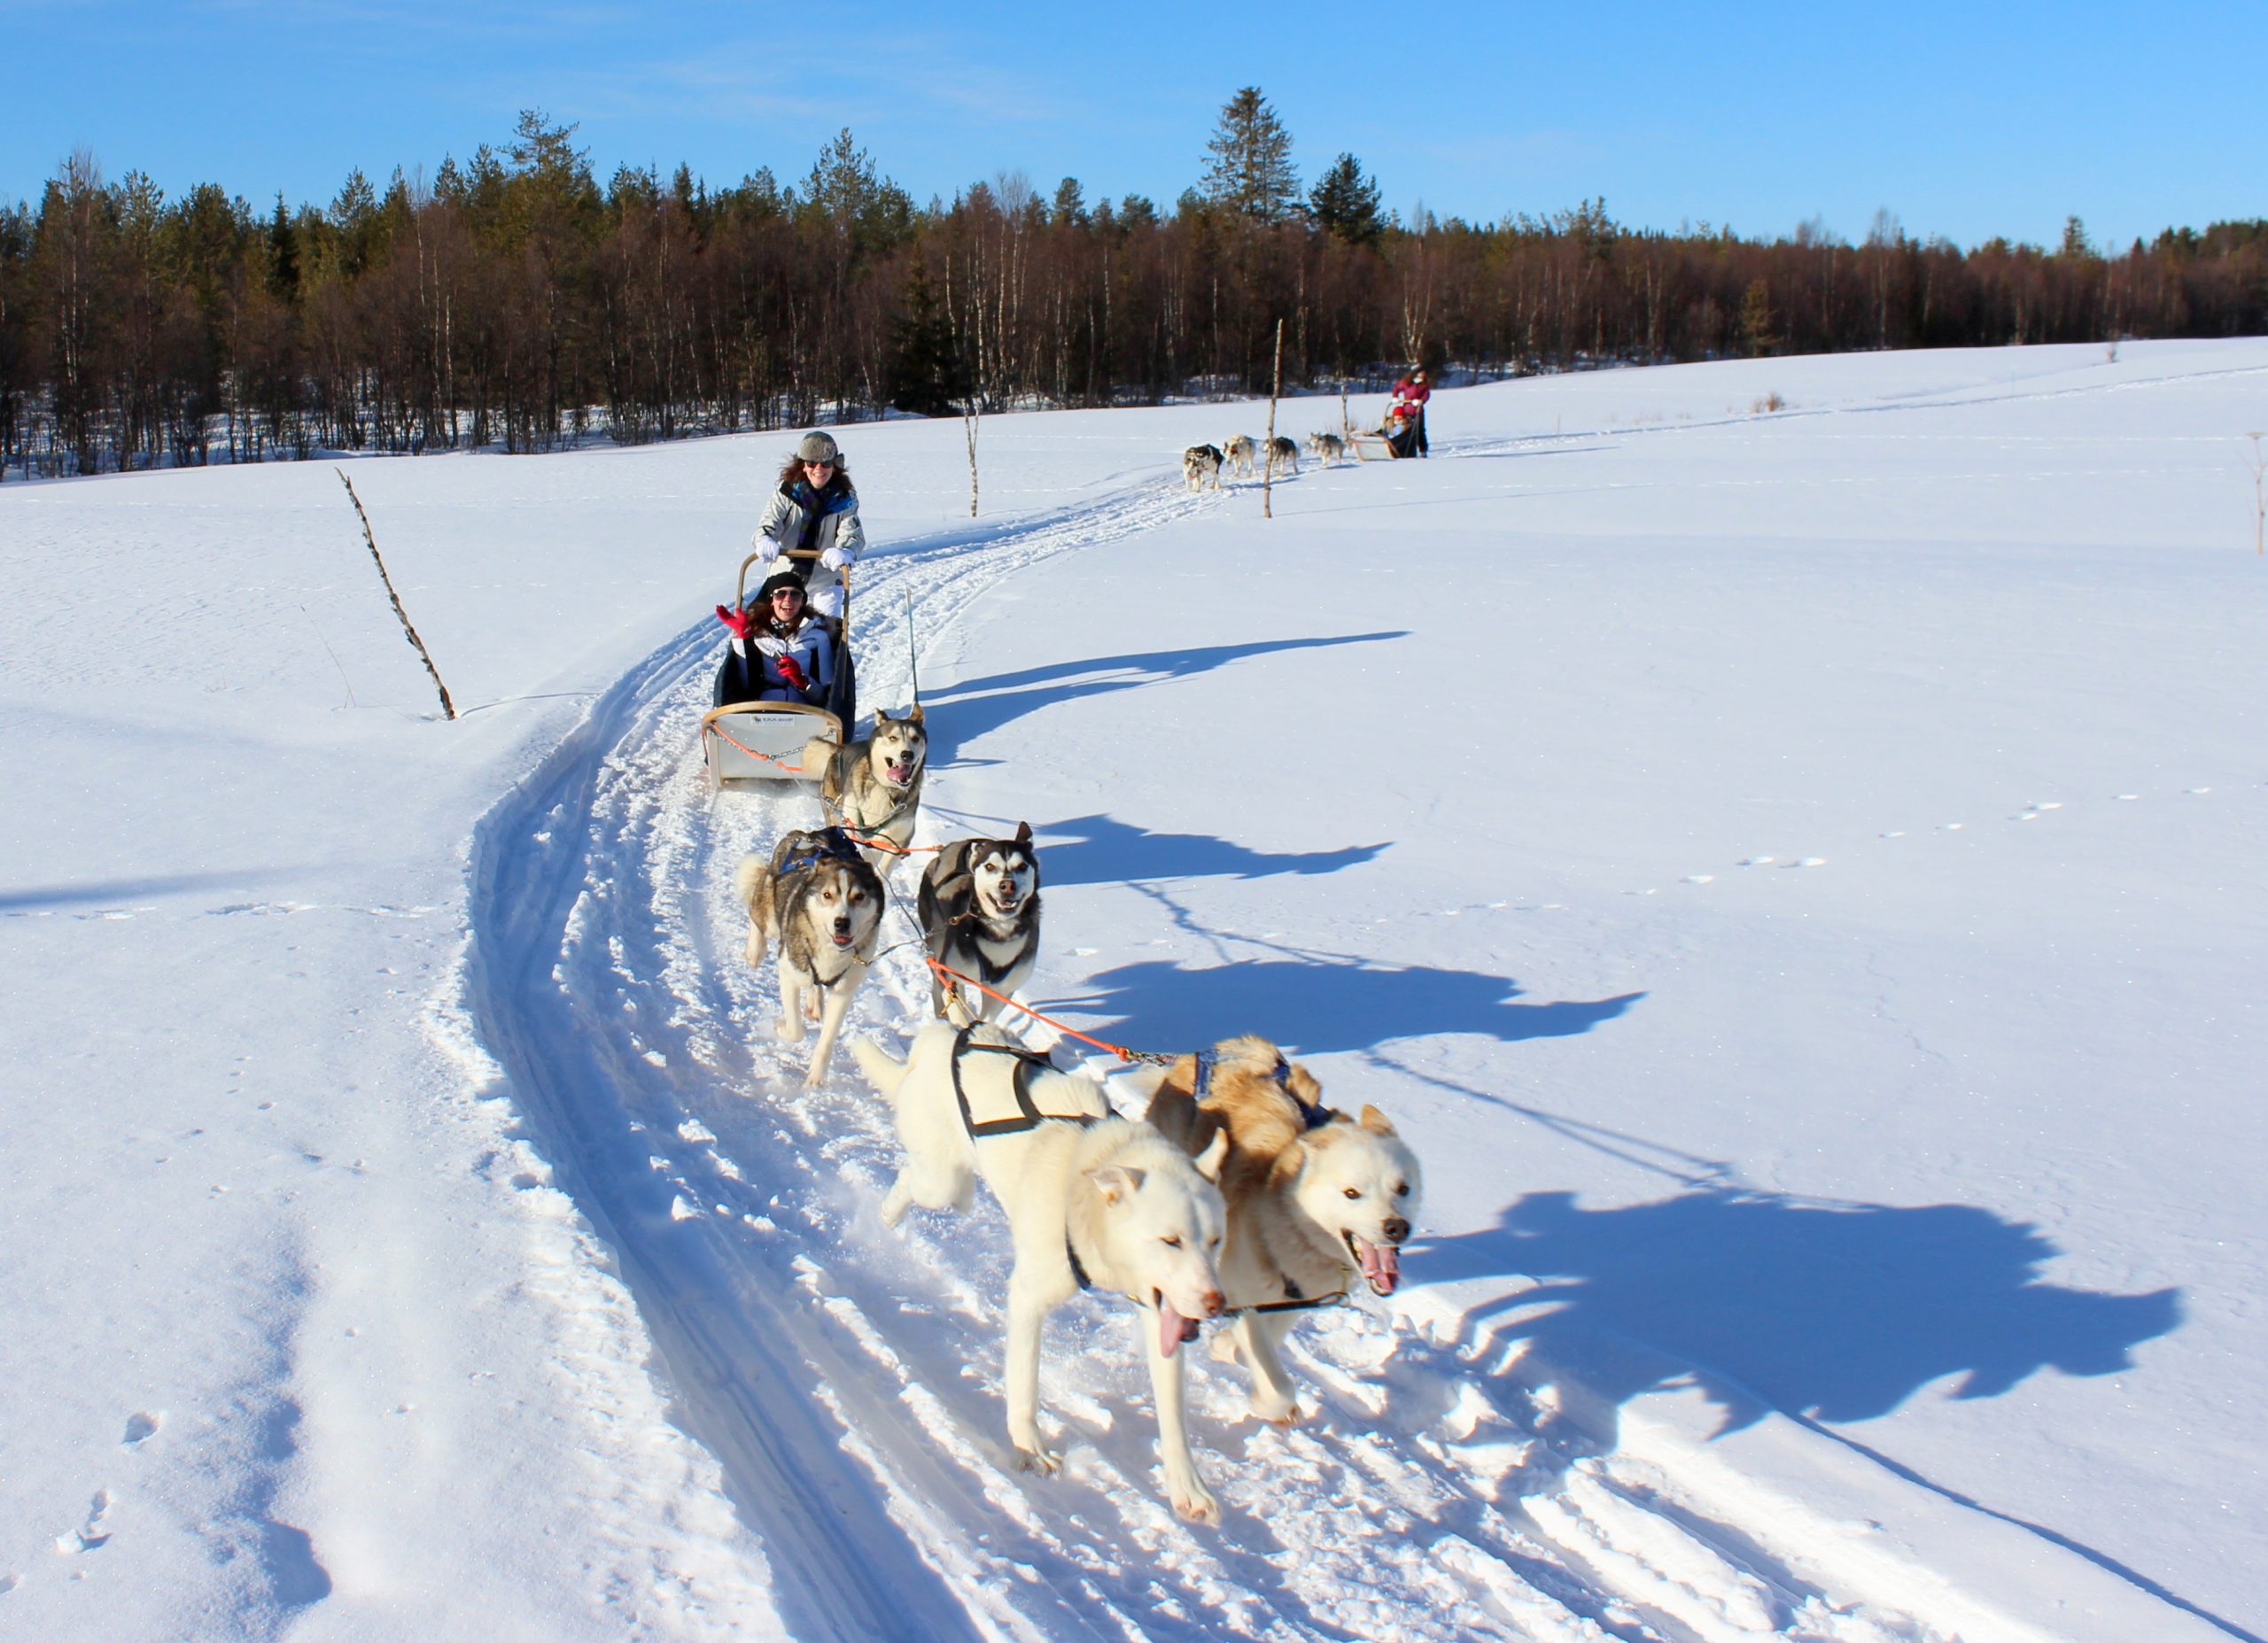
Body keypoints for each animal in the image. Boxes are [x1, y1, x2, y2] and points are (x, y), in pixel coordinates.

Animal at [739, 825, 889, 1083]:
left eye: (859, 897)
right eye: (827, 895)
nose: (842, 923)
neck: (831, 952)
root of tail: (807, 835)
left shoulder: (844, 991)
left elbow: (827, 1039)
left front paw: (817, 1076)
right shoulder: (789, 973)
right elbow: (796, 1030)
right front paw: (782, 1027)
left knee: (815, 985)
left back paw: (813, 1003)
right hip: (768, 911)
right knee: (757, 914)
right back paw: (755, 951)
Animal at [807, 707, 929, 870]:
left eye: (915, 738)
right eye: (893, 738)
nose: (907, 754)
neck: (887, 790)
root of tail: (841, 748)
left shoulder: (897, 842)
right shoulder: (853, 833)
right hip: (834, 813)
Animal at [857, 1019, 1233, 1523]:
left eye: (1214, 1240)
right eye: (1170, 1240)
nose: (1216, 1303)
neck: (1085, 1191)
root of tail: (941, 1036)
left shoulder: (1160, 1311)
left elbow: (1173, 1414)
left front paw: (1186, 1485)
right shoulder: (1030, 1297)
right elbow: (1024, 1382)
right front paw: (1030, 1445)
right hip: (941, 1183)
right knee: (913, 1182)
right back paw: (886, 1216)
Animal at [916, 820, 1038, 1024]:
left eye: (1022, 866)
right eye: (990, 866)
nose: (1007, 885)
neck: (1000, 931)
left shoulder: (1001, 991)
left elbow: (986, 1019)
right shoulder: (951, 975)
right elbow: (957, 1010)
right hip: (938, 940)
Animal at [1152, 1037, 1415, 1422]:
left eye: (1403, 1188)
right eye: (1352, 1193)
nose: (1396, 1227)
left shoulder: (1296, 1297)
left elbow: (1256, 1338)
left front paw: (1225, 1345)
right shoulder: (1243, 1291)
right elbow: (1275, 1381)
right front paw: (1272, 1403)